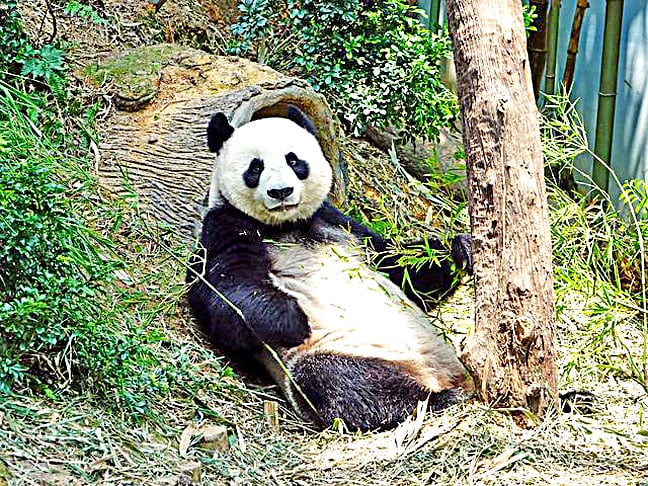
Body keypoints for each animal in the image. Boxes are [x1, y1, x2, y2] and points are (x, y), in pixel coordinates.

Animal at [186, 107, 473, 432]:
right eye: (255, 167)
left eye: (294, 160)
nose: (281, 191)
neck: (286, 225)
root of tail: (435, 374)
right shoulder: (225, 225)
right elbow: (221, 290)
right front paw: (291, 320)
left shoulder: (339, 223)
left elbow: (401, 270)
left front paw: (459, 249)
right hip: (345, 351)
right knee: (341, 381)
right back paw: (436, 400)